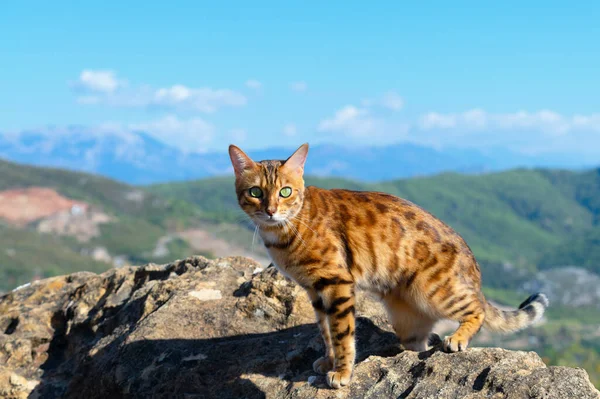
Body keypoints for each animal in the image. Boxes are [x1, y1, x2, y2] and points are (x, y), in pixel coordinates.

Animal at [229, 144, 548, 390]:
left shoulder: (337, 283)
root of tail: (475, 272)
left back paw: (457, 338)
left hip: (434, 290)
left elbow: (342, 333)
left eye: (285, 192)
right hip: (408, 323)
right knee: (420, 343)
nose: (270, 210)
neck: (286, 230)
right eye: (256, 192)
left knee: (477, 309)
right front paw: (329, 360)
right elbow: (326, 331)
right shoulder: (314, 290)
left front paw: (342, 372)